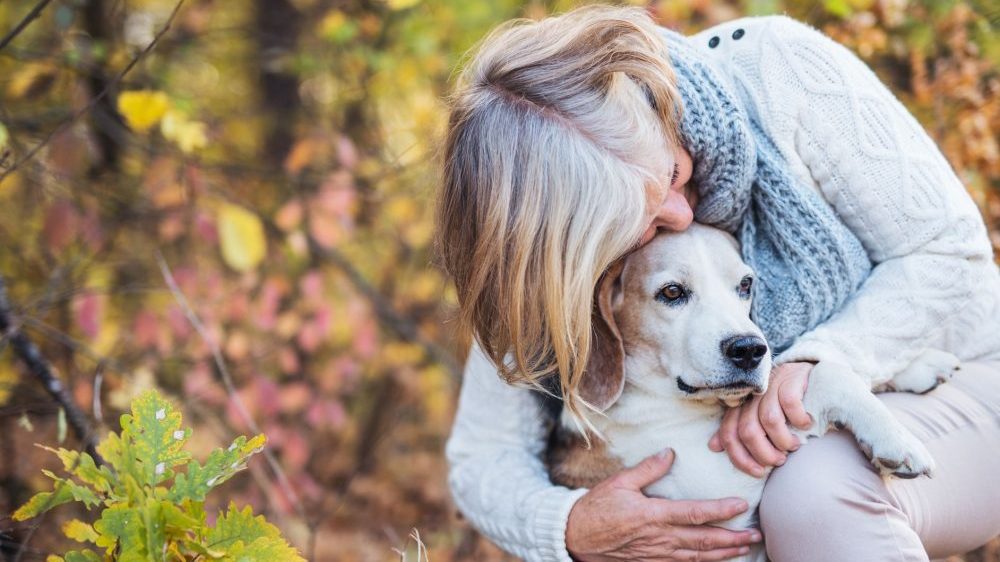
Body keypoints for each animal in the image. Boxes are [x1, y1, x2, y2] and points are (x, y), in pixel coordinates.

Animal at [548, 222, 960, 556]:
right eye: (672, 292)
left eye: (745, 285)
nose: (748, 349)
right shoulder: (720, 490)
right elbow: (829, 375)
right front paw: (896, 440)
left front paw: (919, 365)